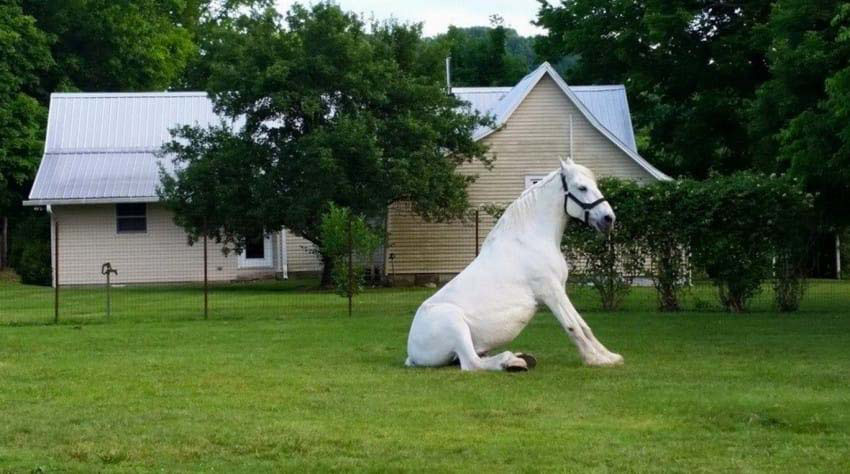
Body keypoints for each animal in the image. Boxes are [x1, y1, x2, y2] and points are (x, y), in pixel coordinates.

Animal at [404, 157, 624, 372]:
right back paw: (511, 361)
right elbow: (573, 326)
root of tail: (412, 354)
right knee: (472, 363)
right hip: (456, 325)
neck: (531, 238)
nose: (609, 219)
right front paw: (596, 360)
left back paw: (520, 358)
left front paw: (610, 356)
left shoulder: (560, 289)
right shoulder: (550, 292)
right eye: (582, 187)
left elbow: (583, 325)